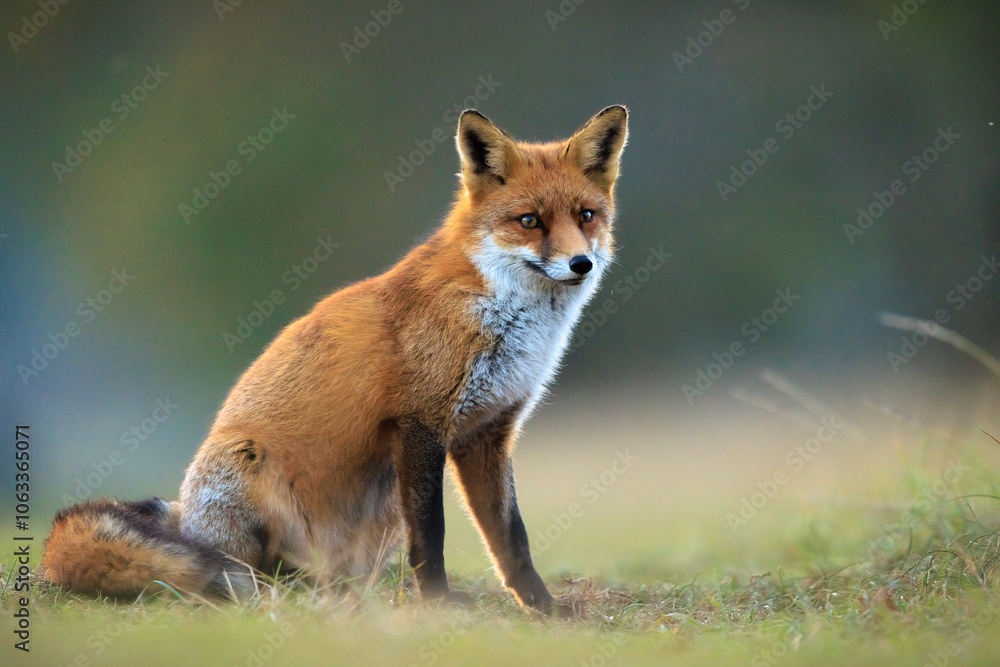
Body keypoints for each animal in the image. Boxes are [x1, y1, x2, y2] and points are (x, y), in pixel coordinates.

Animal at [41, 105, 629, 615]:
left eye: (586, 216)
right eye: (529, 221)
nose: (581, 263)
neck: (504, 318)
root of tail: (186, 521)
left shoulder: (488, 433)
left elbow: (512, 539)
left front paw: (545, 610)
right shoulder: (421, 423)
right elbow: (433, 536)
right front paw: (438, 604)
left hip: (381, 505)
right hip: (254, 467)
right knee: (250, 573)